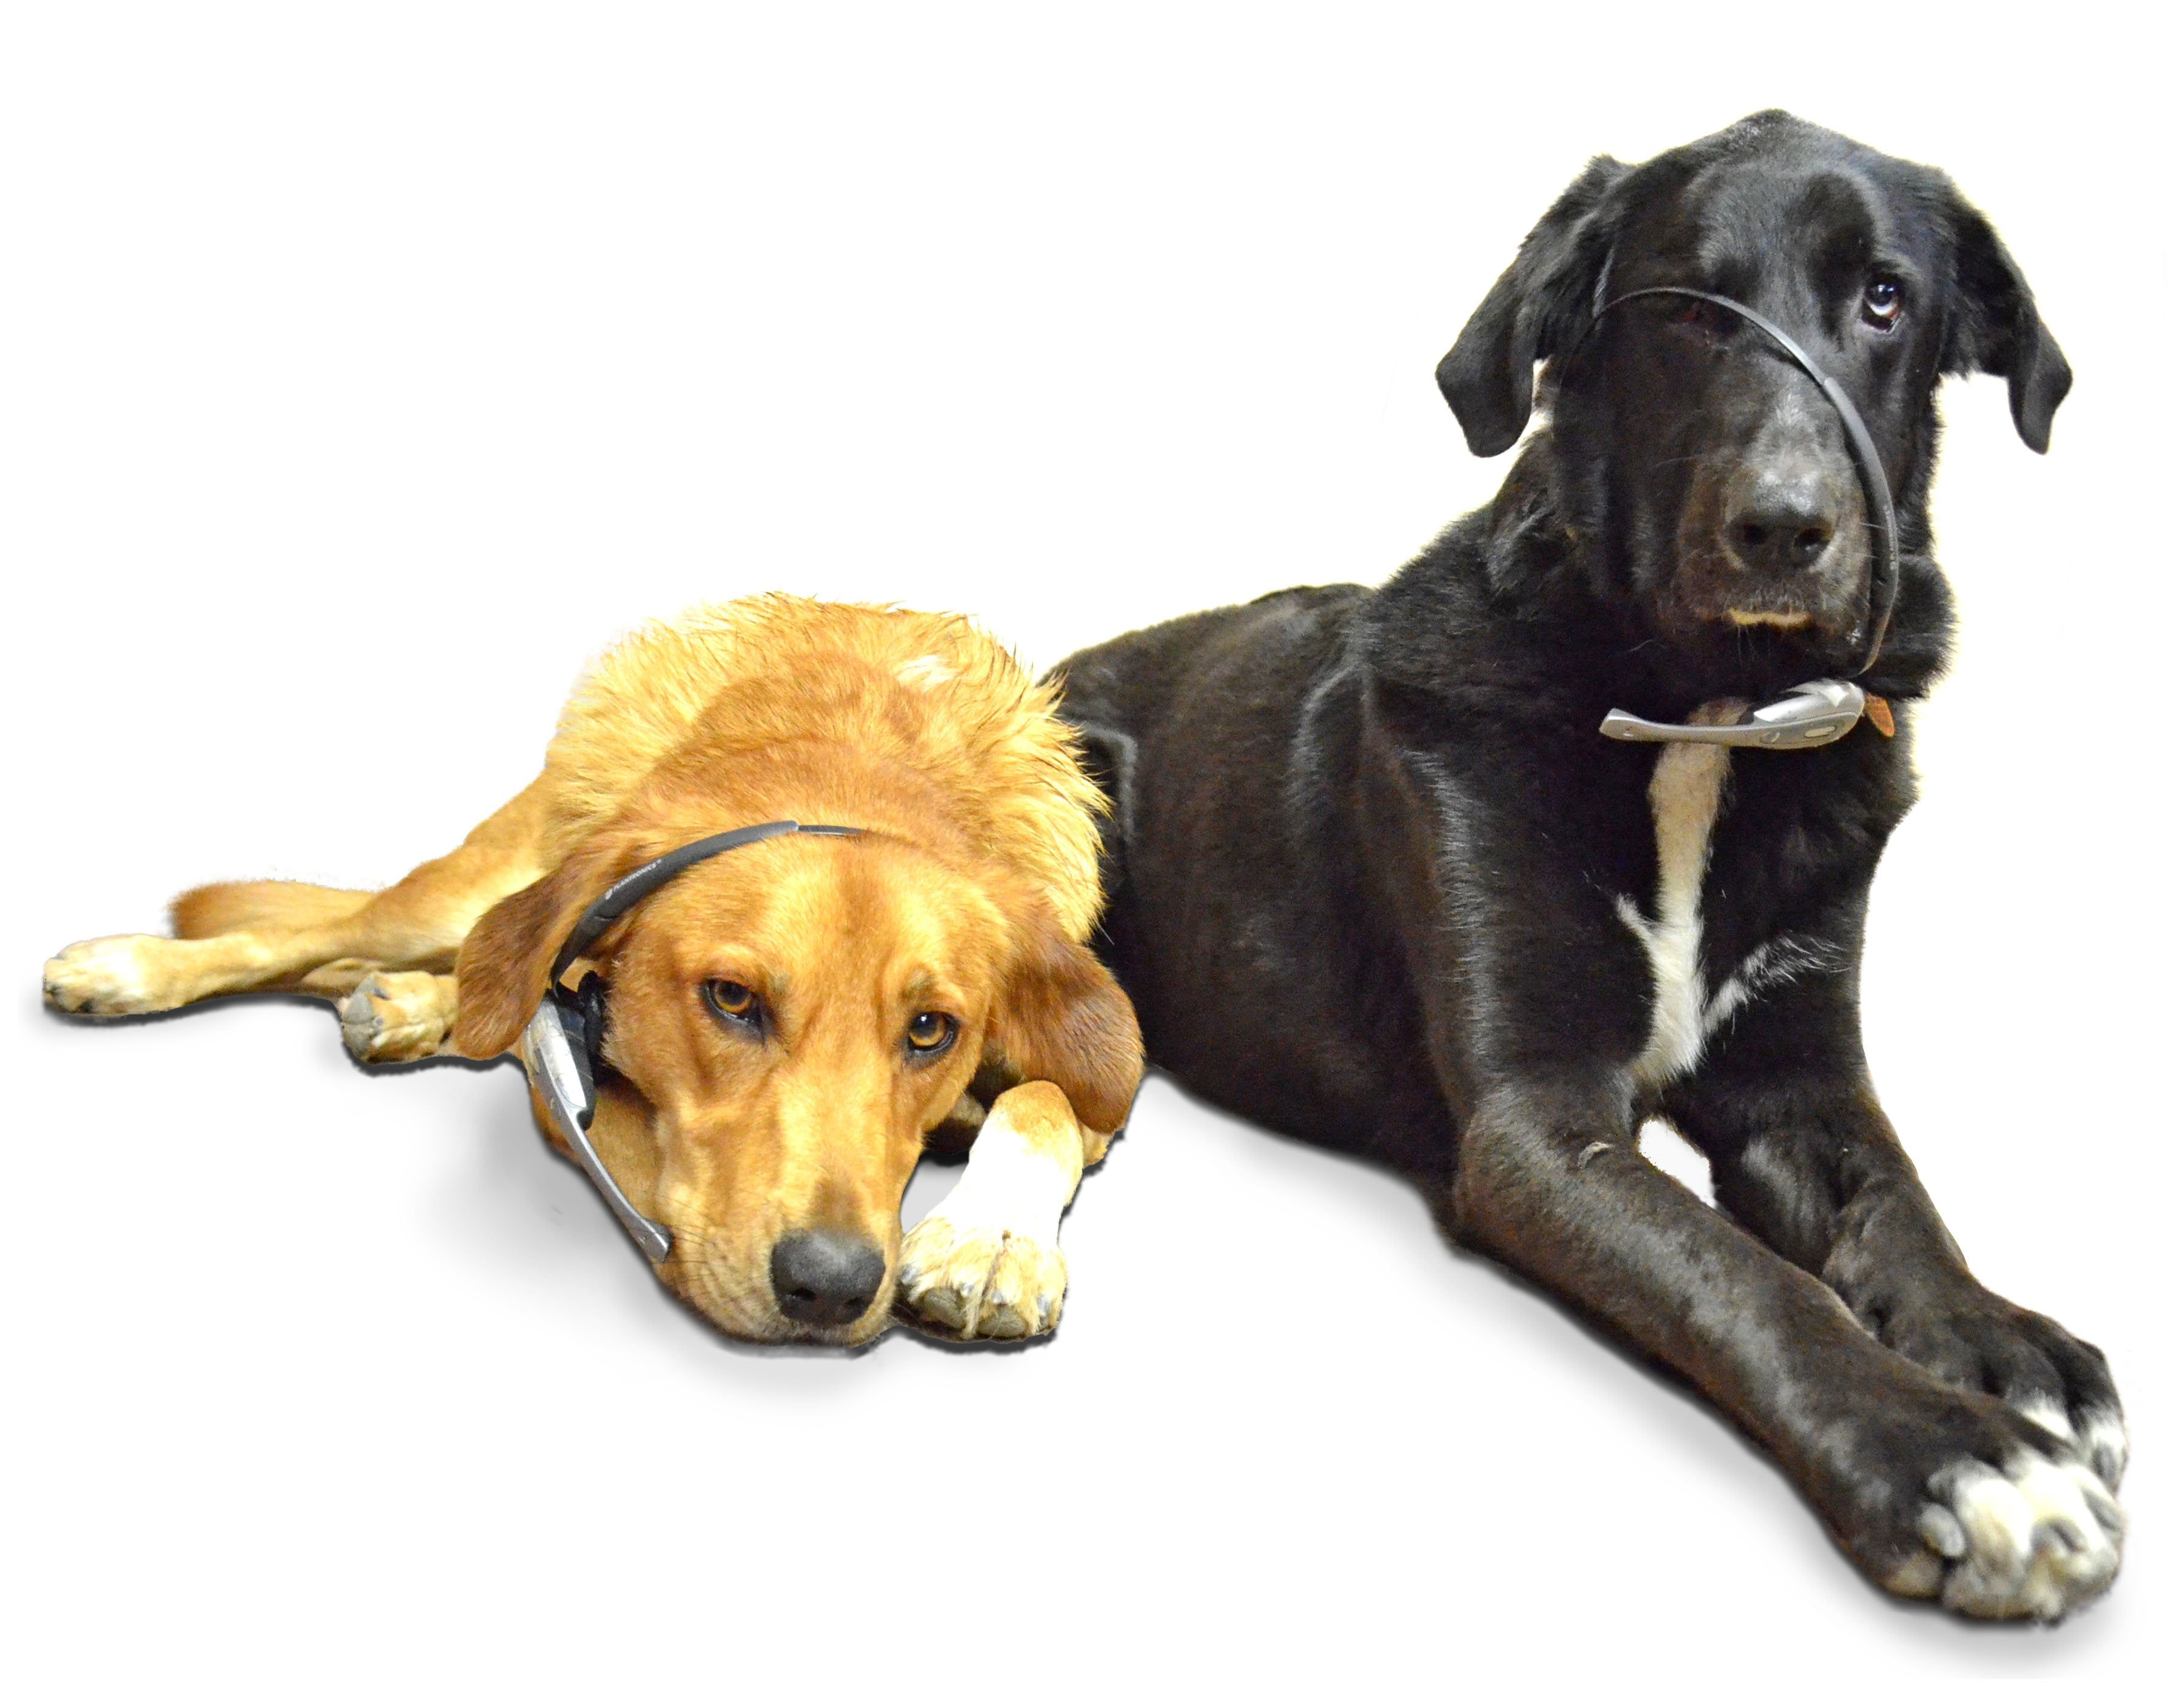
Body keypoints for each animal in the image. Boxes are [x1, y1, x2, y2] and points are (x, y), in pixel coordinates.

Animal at [42, 602, 1145, 1344]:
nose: (829, 1285)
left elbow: (1048, 1097)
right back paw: (126, 966)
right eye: (731, 999)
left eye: (929, 1030)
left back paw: (411, 1004)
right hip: (460, 889)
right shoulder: (565, 1080)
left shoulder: (1085, 1082)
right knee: (321, 937)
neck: (848, 774)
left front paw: (990, 1237)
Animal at [1058, 116, 2124, 1612]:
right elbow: (1744, 1276)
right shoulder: (1535, 1121)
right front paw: (1953, 1454)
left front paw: (1997, 1336)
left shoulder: (1803, 1084)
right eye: (1682, 309)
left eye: (1885, 300)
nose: (1787, 524)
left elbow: (1901, 1204)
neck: (1708, 715)